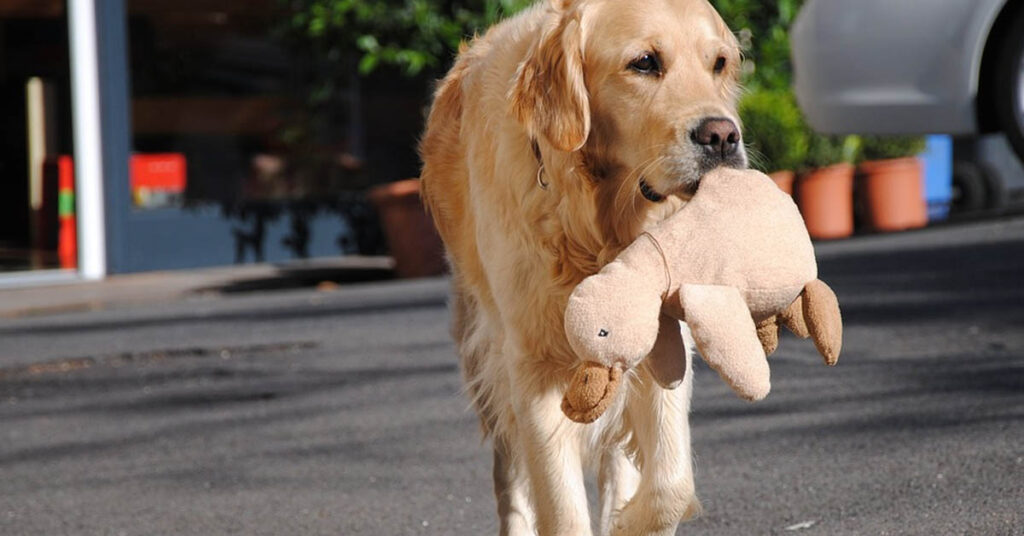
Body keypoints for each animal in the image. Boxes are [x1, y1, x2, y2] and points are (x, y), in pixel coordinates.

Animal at [415, 1, 745, 536]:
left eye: (718, 63)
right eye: (644, 63)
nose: (723, 137)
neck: (598, 224)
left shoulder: (661, 338)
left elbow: (671, 485)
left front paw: (629, 522)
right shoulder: (532, 364)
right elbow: (561, 505)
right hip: (484, 347)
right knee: (511, 476)